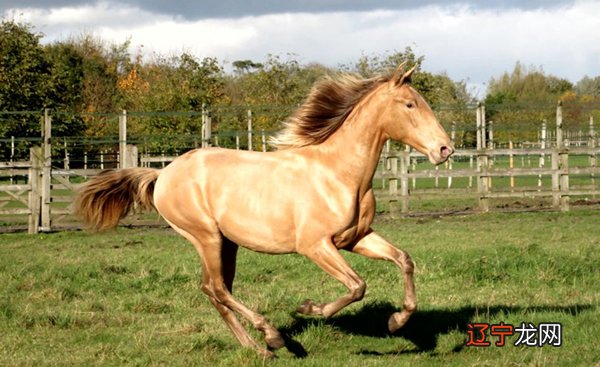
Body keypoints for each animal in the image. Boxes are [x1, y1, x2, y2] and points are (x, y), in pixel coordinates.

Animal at [78, 61, 454, 358]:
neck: (338, 173)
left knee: (217, 291)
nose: (445, 149)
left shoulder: (355, 238)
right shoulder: (315, 245)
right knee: (216, 289)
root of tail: (163, 174)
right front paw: (309, 308)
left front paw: (396, 322)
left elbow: (404, 260)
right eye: (410, 104)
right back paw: (273, 337)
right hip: (206, 237)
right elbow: (357, 286)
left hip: (226, 243)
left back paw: (258, 348)